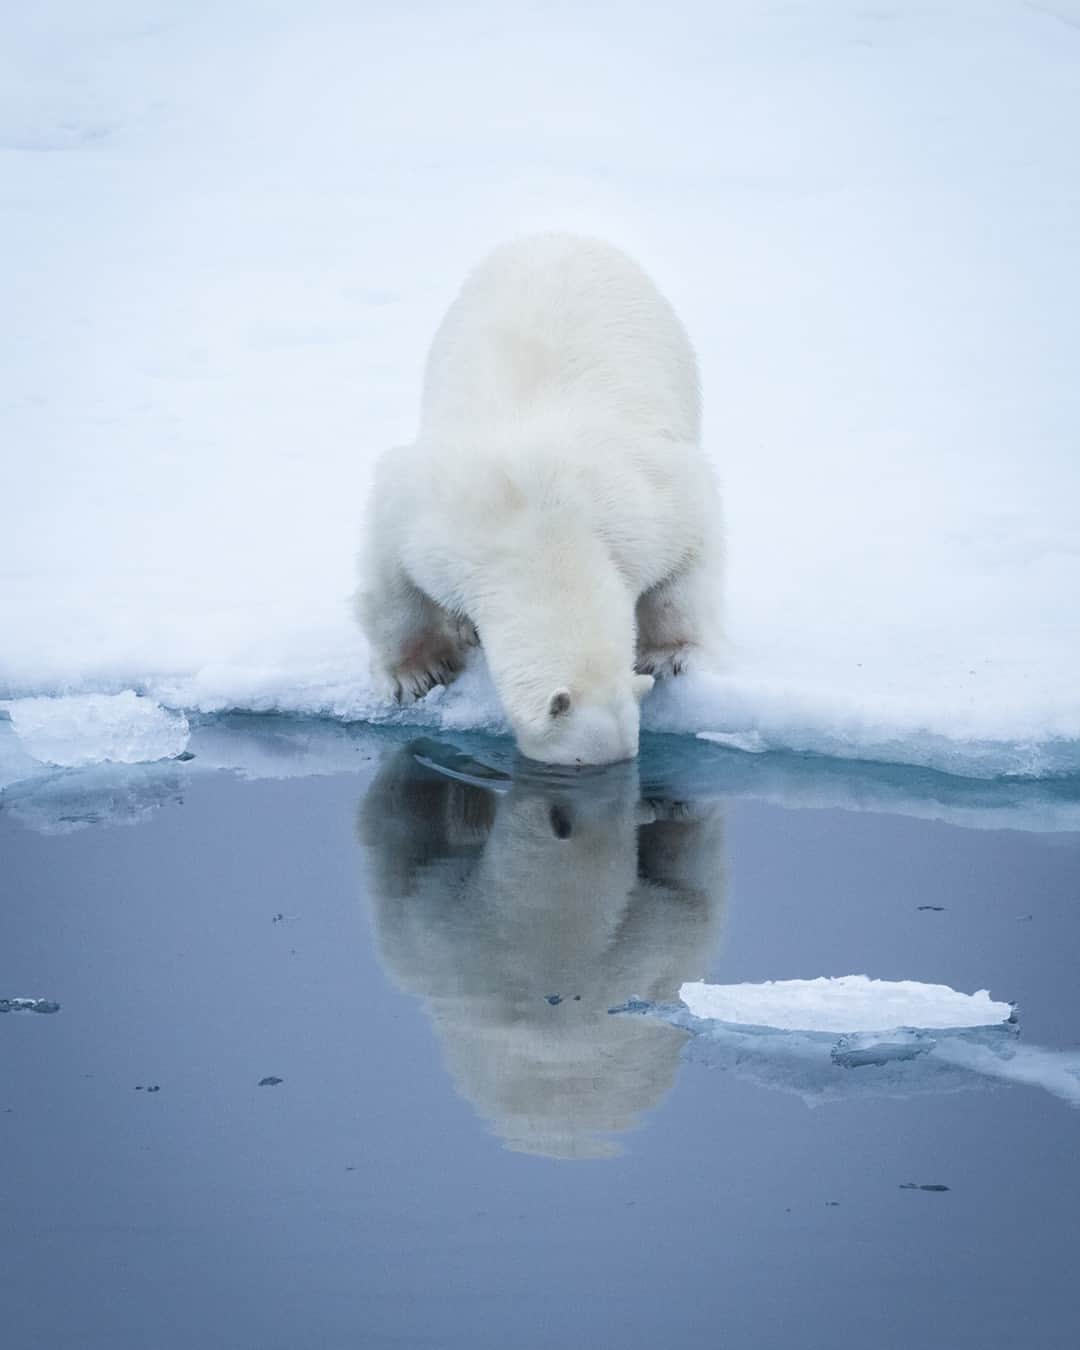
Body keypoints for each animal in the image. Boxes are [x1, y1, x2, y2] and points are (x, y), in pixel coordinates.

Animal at [355, 234, 722, 765]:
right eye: (579, 762)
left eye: (629, 757)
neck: (541, 528)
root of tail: (561, 235)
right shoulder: (431, 517)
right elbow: (391, 580)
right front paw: (416, 674)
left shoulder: (646, 510)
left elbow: (687, 557)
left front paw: (669, 655)